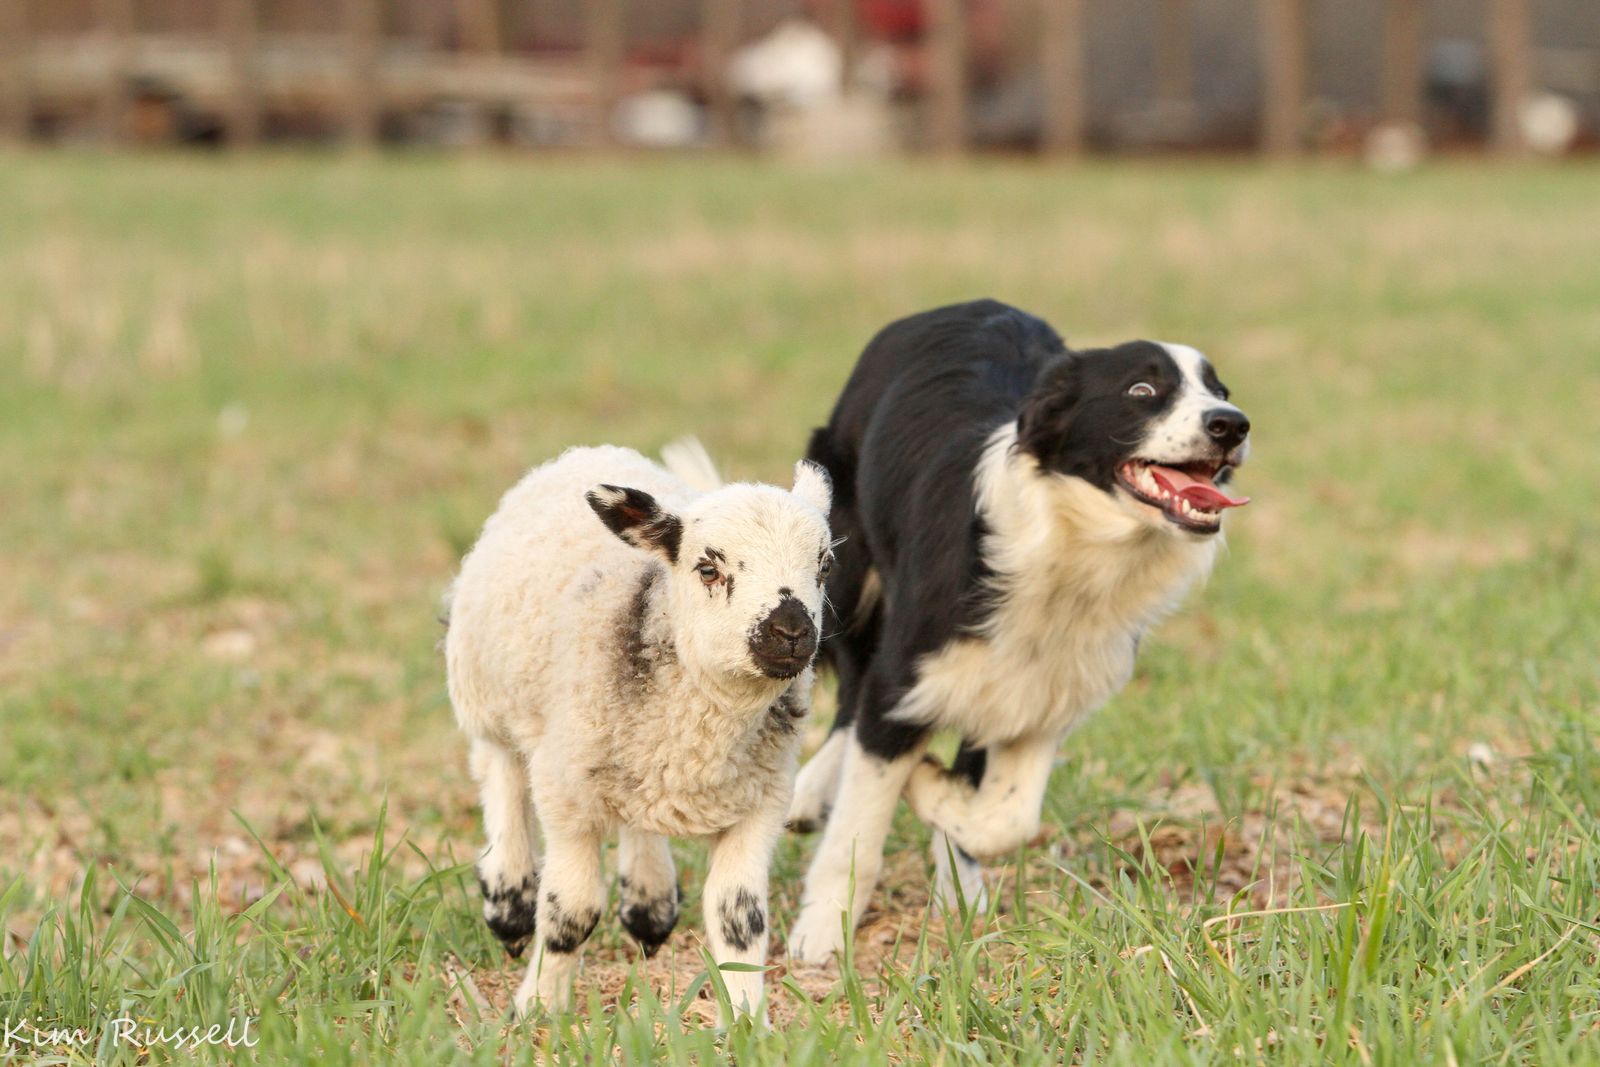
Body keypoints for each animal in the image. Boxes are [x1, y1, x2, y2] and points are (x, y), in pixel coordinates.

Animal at [444, 442, 834, 1021]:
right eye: (708, 569)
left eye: (825, 566)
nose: (790, 630)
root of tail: (592, 450)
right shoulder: (566, 794)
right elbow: (572, 912)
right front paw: (538, 1007)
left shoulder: (764, 800)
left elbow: (739, 916)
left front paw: (746, 1017)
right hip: (486, 685)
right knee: (500, 771)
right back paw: (509, 901)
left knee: (640, 818)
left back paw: (649, 902)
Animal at [784, 299, 1251, 961]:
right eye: (1142, 391)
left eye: (1220, 391)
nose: (1232, 426)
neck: (1071, 550)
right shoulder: (913, 672)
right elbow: (859, 827)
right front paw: (822, 932)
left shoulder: (1044, 691)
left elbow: (1006, 819)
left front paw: (933, 794)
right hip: (847, 580)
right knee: (850, 695)